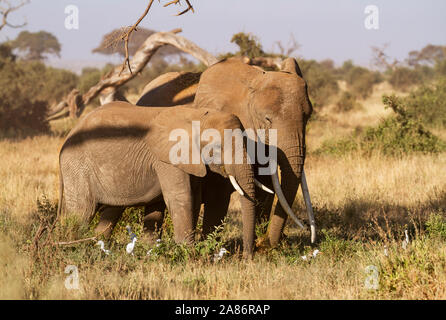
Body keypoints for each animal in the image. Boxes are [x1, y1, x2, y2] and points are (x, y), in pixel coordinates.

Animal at [59, 101, 262, 256]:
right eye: (218, 148)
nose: (246, 258)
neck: (197, 115)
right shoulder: (167, 158)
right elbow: (180, 198)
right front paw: (189, 256)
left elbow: (192, 199)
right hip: (77, 168)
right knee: (82, 211)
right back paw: (73, 249)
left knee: (111, 213)